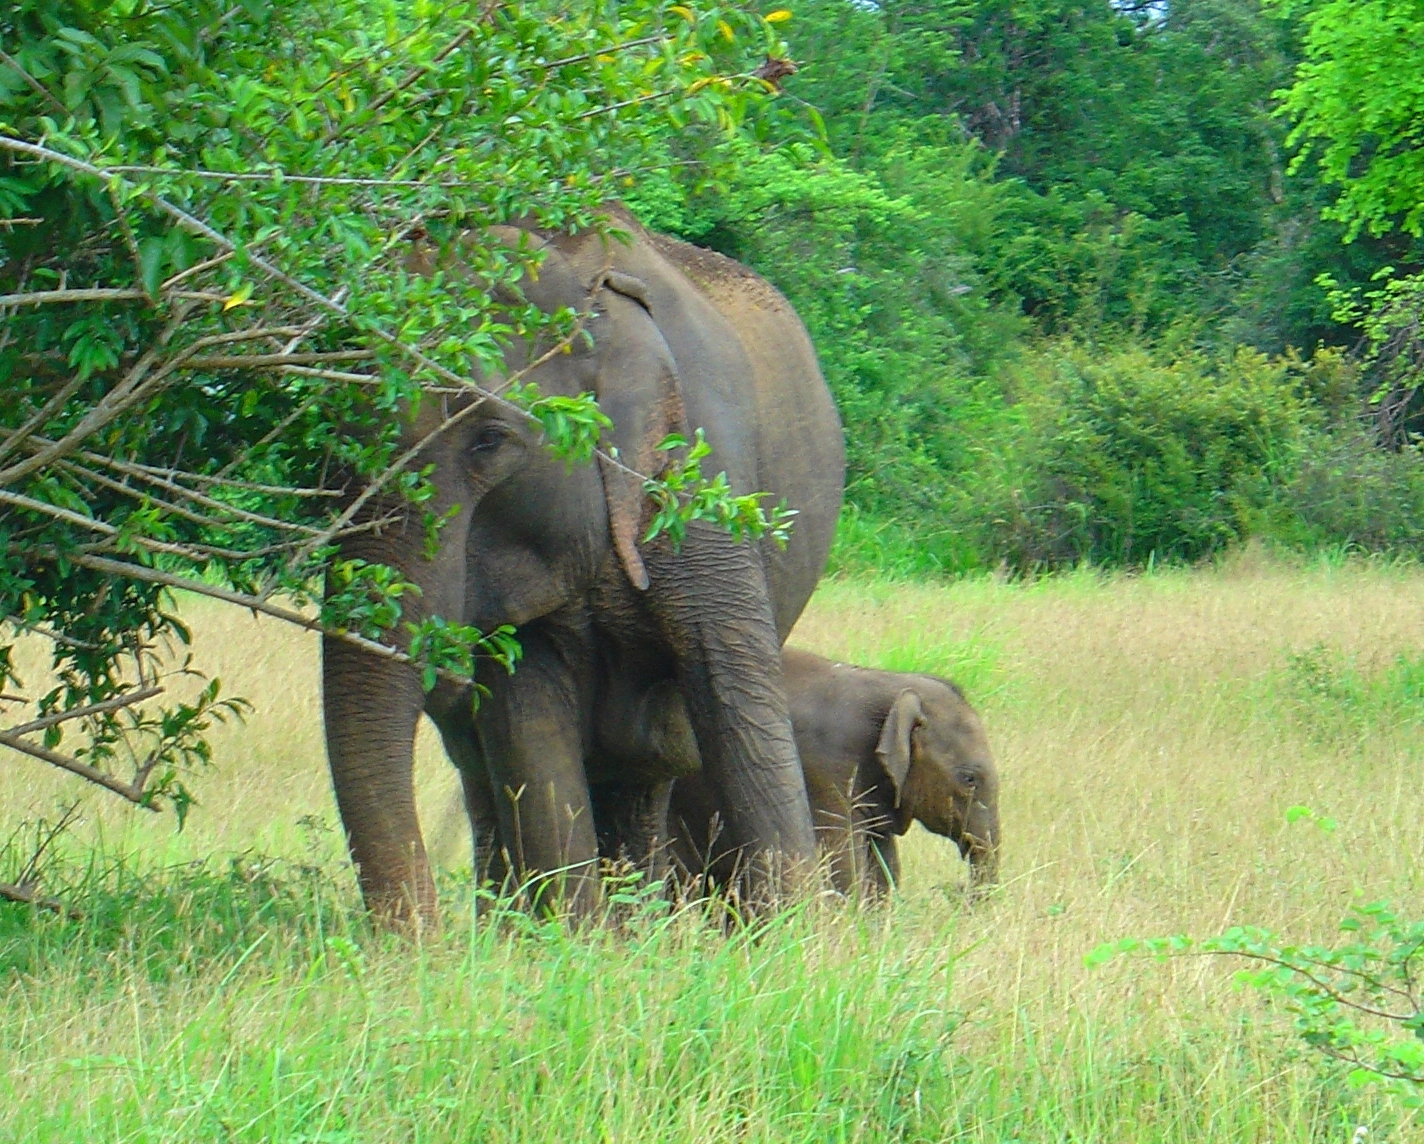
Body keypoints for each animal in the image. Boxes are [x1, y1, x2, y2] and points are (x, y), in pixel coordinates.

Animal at [323, 205, 843, 923]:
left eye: (490, 441)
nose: (421, 939)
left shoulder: (704, 473)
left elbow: (732, 685)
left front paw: (797, 937)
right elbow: (529, 717)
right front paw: (568, 935)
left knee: (649, 763)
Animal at [669, 649, 996, 900]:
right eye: (969, 779)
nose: (953, 888)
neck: (894, 686)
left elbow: (883, 868)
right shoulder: (825, 772)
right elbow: (843, 869)